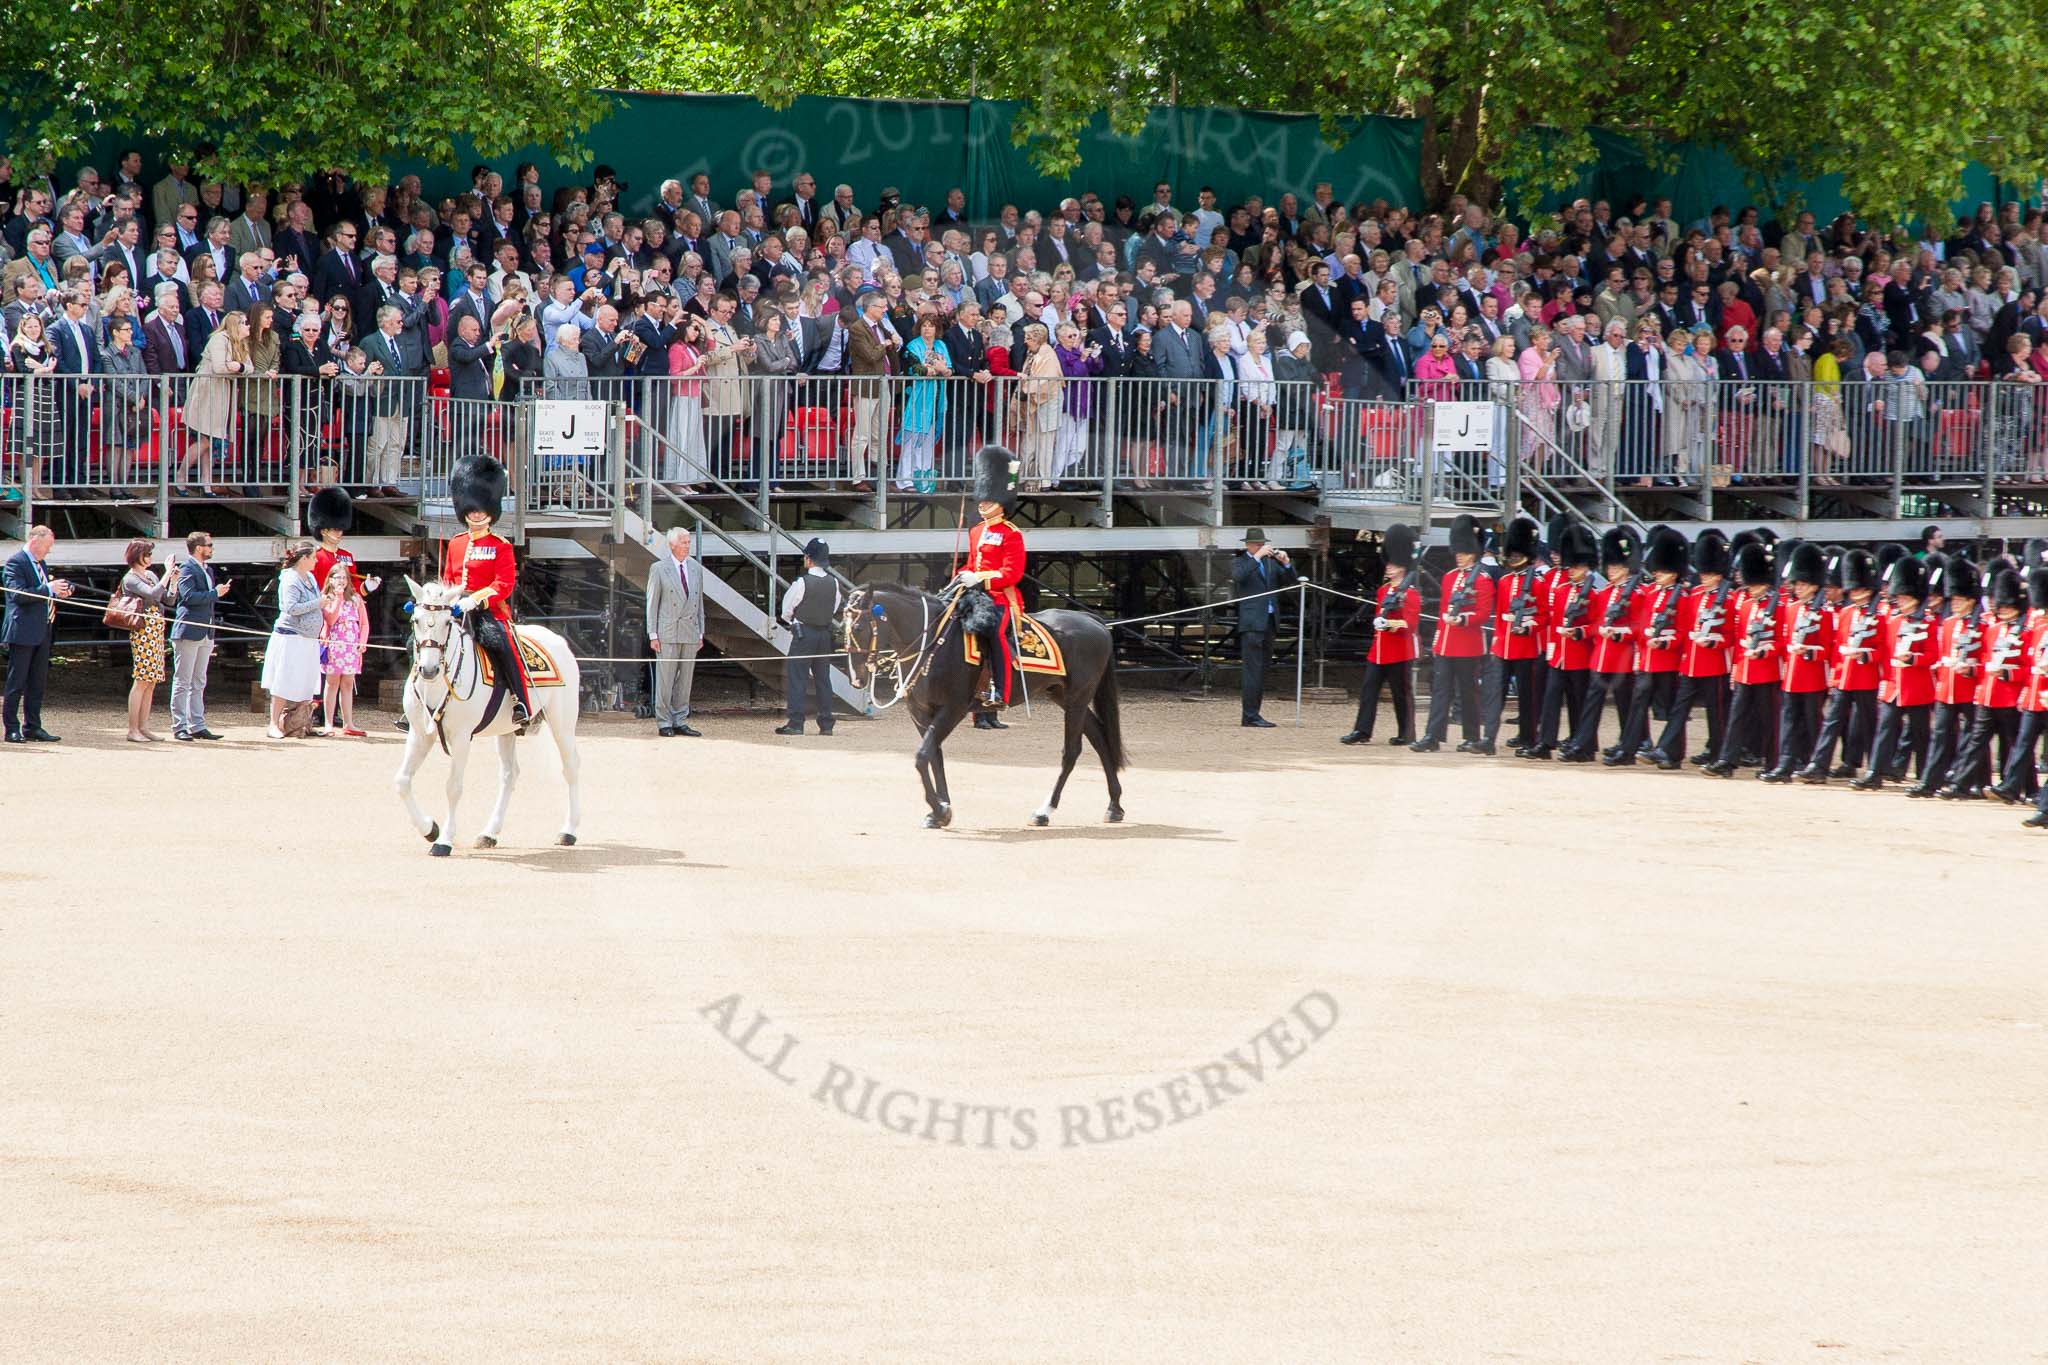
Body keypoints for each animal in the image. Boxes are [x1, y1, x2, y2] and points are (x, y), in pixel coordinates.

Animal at [395, 577, 585, 855]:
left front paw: (444, 841)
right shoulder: (419, 734)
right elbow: (402, 781)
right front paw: (430, 829)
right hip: (506, 731)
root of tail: (557, 639)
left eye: (446, 623)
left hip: (562, 724)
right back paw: (489, 833)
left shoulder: (461, 737)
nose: (428, 670)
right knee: (509, 775)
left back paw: (569, 831)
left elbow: (453, 788)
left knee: (571, 768)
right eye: (415, 620)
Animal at [843, 581, 1130, 826]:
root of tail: (1092, 620)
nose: (857, 679)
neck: (933, 642)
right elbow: (934, 756)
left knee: (1072, 751)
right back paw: (1114, 805)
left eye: (858, 628)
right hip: (1063, 695)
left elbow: (922, 756)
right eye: (843, 630)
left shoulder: (954, 708)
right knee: (1099, 737)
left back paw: (1044, 811)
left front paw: (938, 809)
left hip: (1078, 698)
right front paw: (941, 810)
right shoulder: (921, 712)